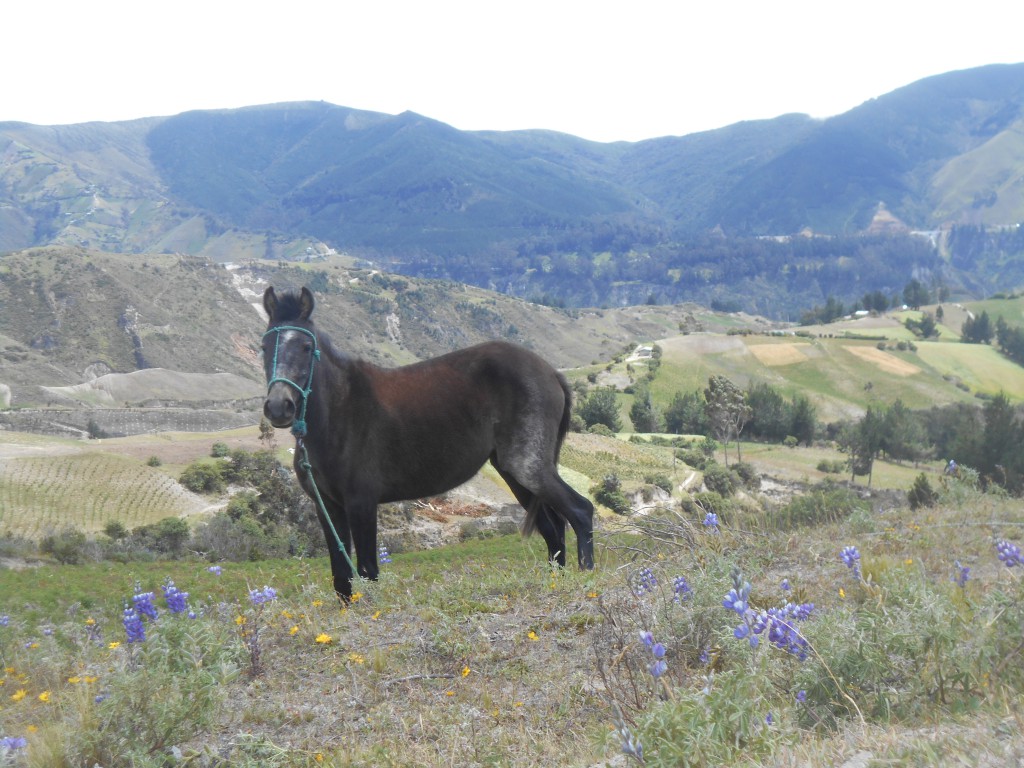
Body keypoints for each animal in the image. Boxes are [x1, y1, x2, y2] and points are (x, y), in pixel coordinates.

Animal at [260, 286, 598, 602]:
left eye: (306, 347)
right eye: (264, 346)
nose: (279, 407)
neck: (339, 413)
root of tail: (550, 372)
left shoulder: (361, 503)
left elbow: (368, 572)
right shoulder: (327, 507)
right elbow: (342, 580)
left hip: (528, 468)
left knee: (580, 511)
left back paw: (587, 577)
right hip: (515, 474)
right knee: (554, 530)